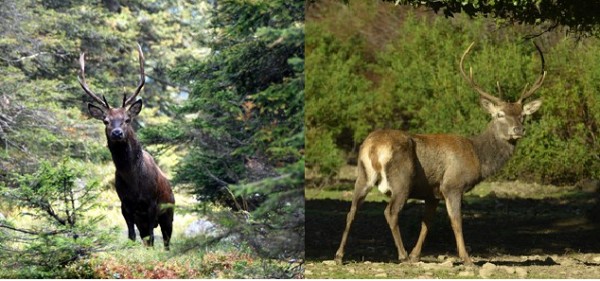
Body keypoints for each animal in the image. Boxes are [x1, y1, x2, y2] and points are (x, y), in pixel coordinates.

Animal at [78, 44, 175, 249]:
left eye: (127, 119)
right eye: (106, 121)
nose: (117, 133)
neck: (134, 182)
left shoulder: (152, 204)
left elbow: (152, 239)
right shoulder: (125, 206)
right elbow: (131, 236)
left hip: (169, 213)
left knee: (166, 241)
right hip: (143, 220)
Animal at [336, 42, 548, 264]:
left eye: (523, 115)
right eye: (500, 114)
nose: (518, 130)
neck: (477, 156)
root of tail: (373, 147)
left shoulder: (432, 192)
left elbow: (427, 222)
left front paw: (416, 255)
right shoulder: (452, 185)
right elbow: (456, 221)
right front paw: (466, 258)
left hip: (362, 175)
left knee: (351, 211)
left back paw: (339, 255)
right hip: (402, 179)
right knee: (390, 212)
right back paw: (402, 255)